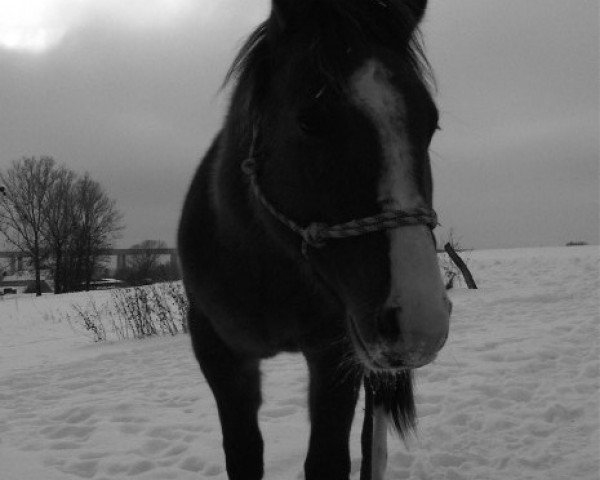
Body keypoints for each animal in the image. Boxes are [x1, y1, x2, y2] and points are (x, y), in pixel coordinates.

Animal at [178, 0, 450, 480]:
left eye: (430, 123)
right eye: (309, 121)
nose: (421, 322)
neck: (264, 273)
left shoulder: (335, 353)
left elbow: (328, 459)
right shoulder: (218, 352)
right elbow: (243, 454)